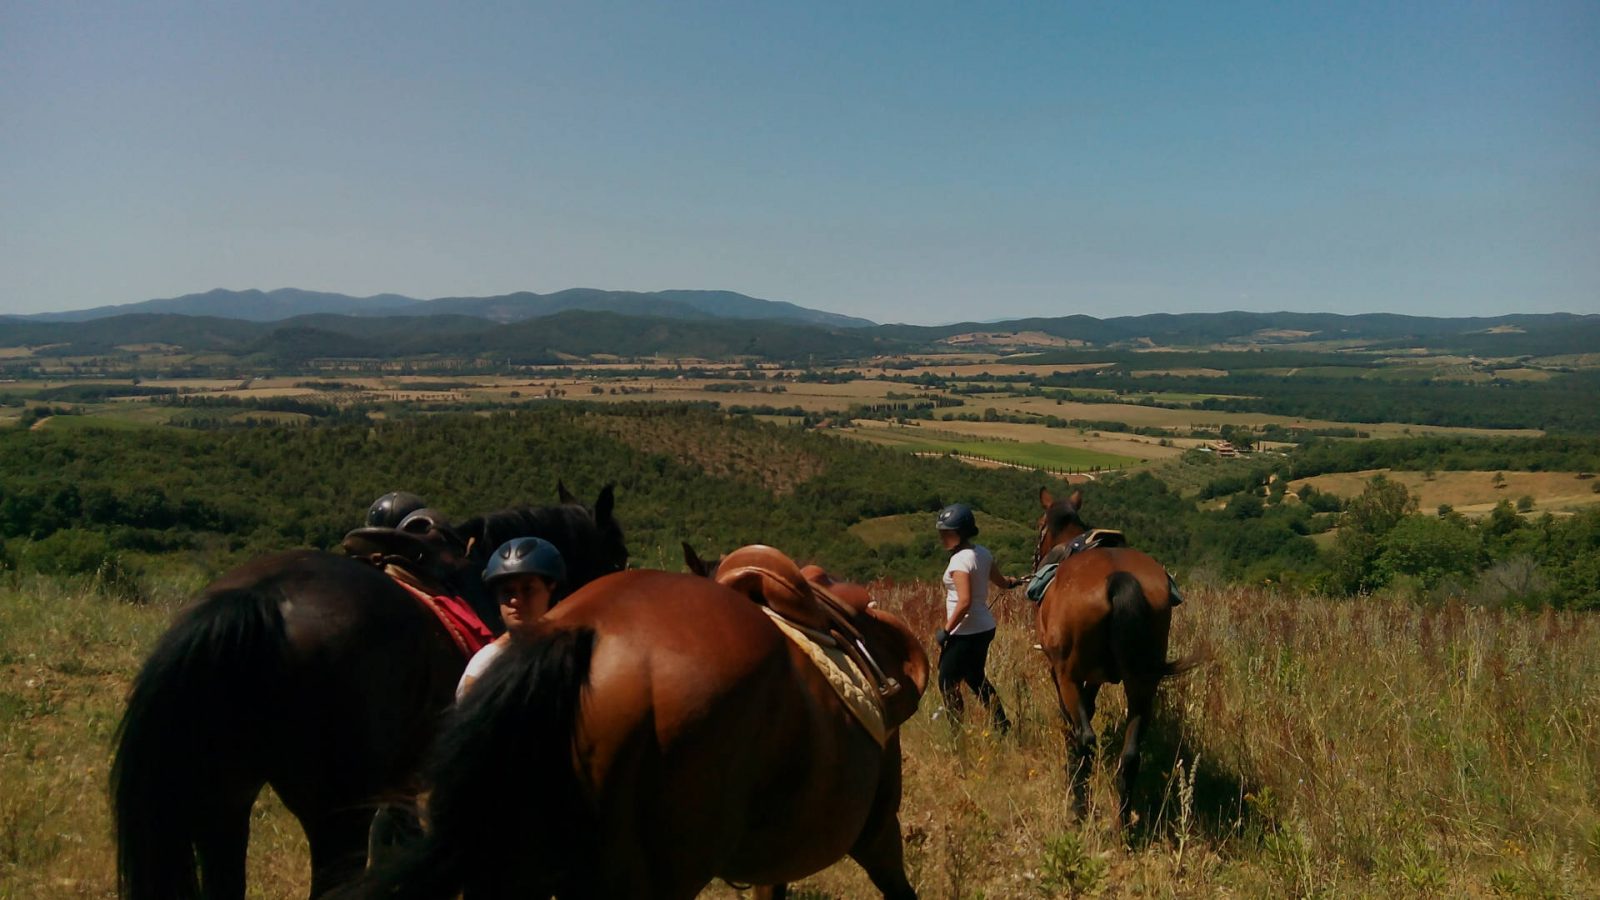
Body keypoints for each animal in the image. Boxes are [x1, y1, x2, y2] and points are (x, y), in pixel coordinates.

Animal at [1030, 486, 1196, 826]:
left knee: (1086, 738)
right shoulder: (1094, 678)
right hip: (1142, 684)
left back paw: (1078, 809)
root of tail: (1118, 579)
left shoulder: (1060, 672)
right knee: (1131, 754)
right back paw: (1124, 824)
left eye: (1039, 525)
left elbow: (1071, 719)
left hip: (1070, 675)